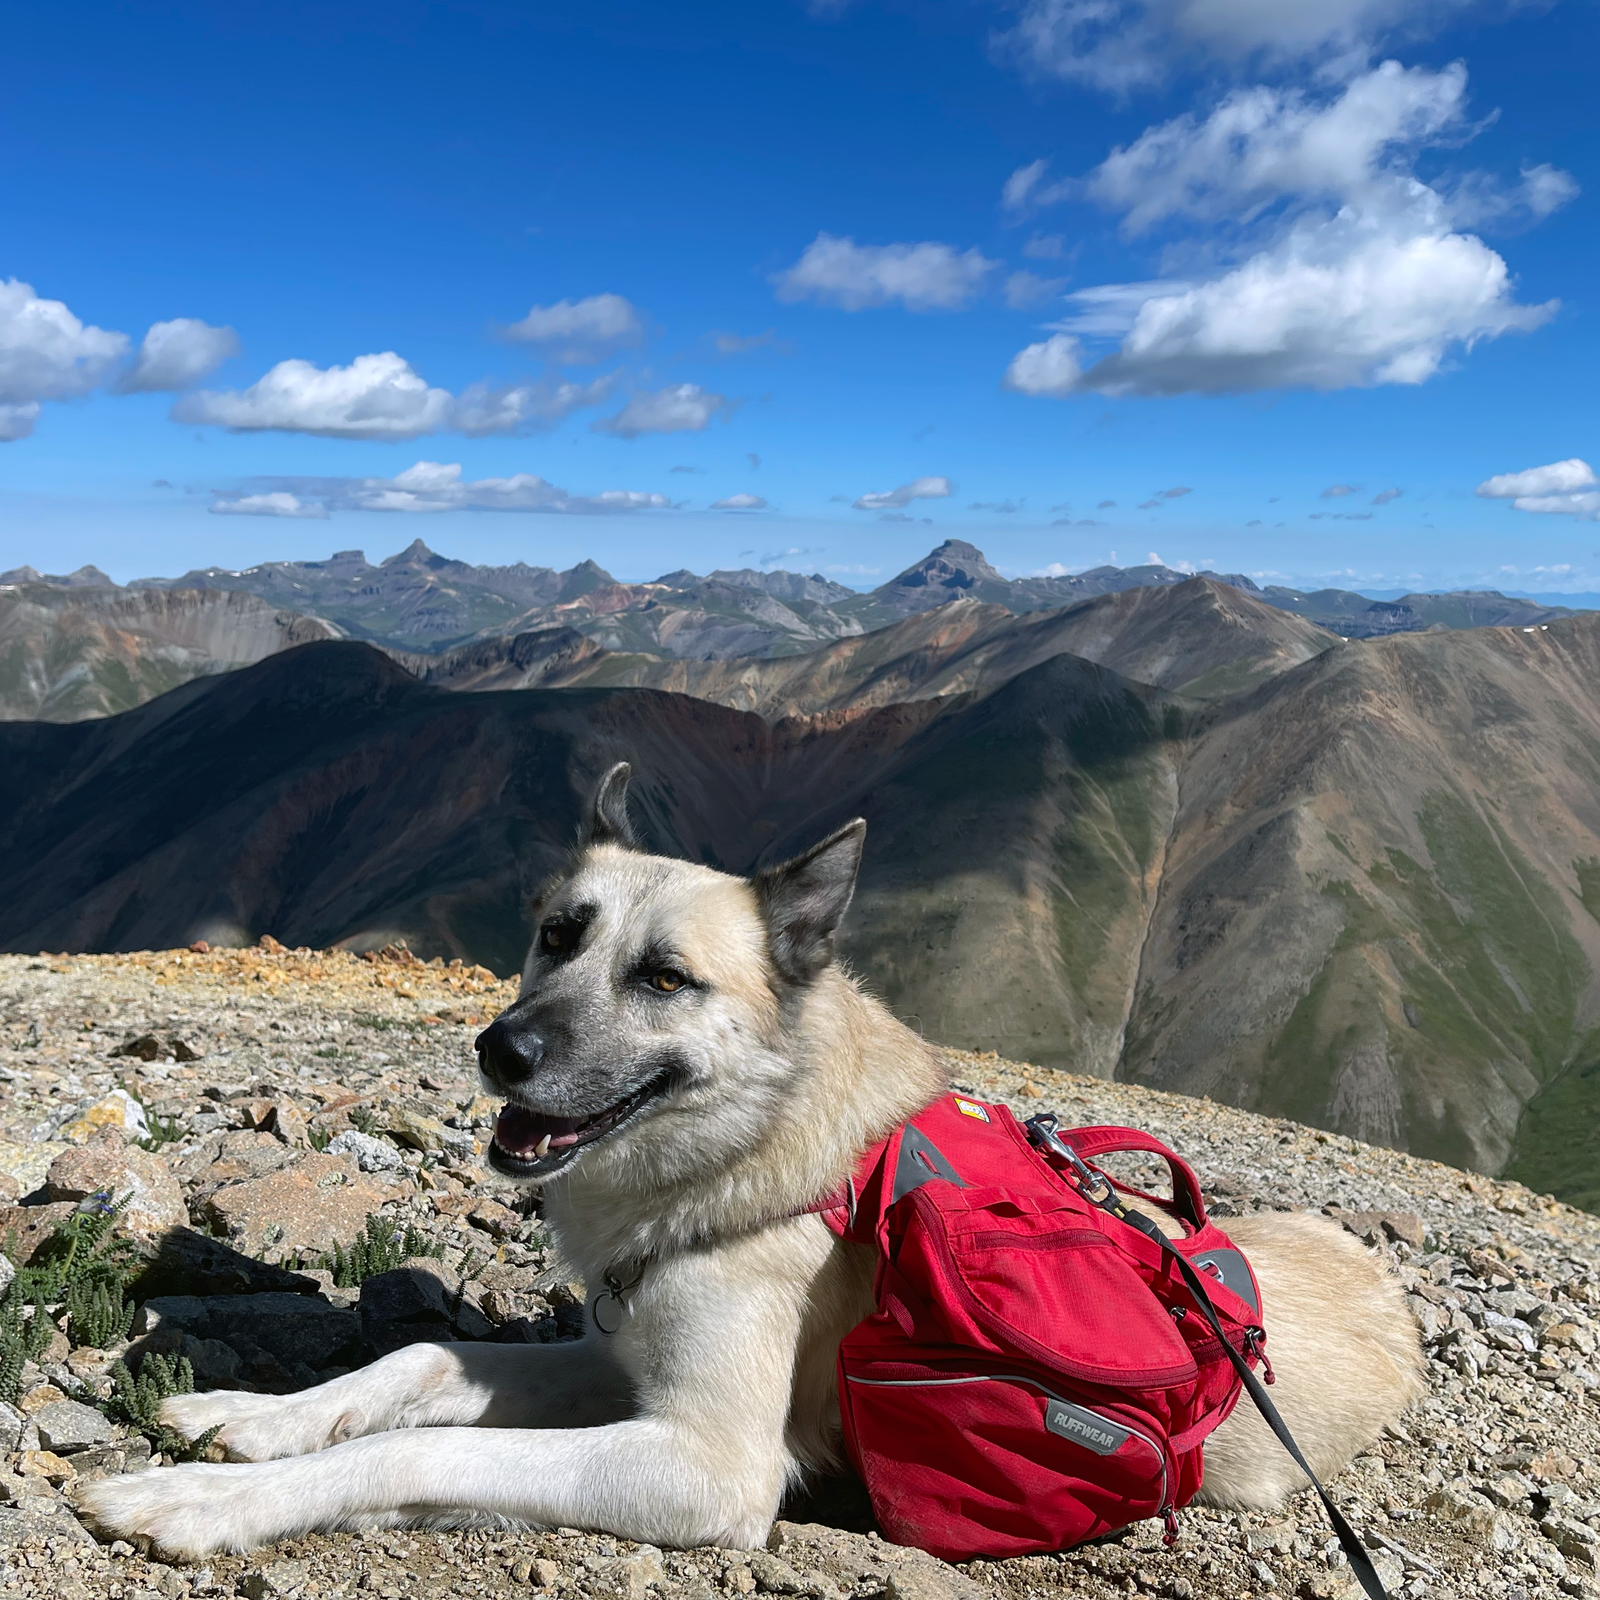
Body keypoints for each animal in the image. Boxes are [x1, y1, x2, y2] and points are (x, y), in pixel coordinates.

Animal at [78, 768, 1427, 1555]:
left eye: (664, 978)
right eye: (555, 934)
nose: (499, 1049)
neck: (746, 1151)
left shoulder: (706, 1460)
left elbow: (417, 1448)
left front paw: (193, 1502)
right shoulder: (616, 1363)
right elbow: (414, 1361)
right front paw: (244, 1417)